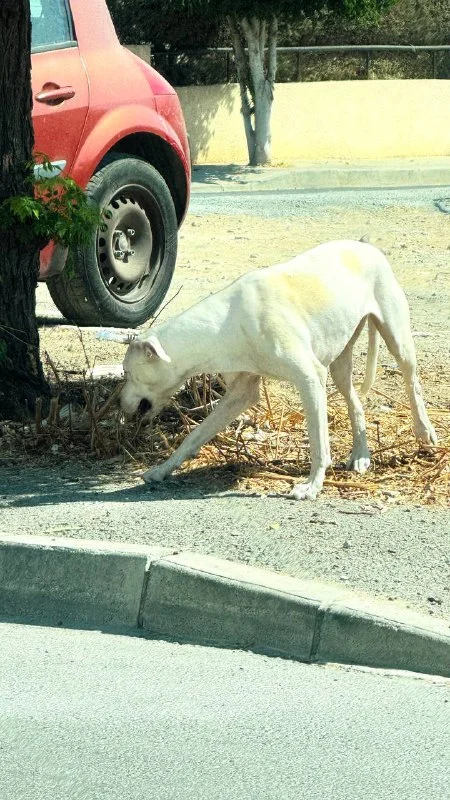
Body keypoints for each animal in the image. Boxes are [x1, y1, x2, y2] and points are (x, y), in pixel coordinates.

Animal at [120, 240, 437, 500]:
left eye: (127, 373)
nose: (120, 404)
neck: (225, 323)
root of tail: (365, 245)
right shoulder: (240, 394)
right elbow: (195, 435)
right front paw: (162, 470)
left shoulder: (311, 378)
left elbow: (318, 442)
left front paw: (312, 486)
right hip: (339, 363)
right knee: (355, 403)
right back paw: (361, 455)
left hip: (397, 340)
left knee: (413, 383)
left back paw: (424, 432)